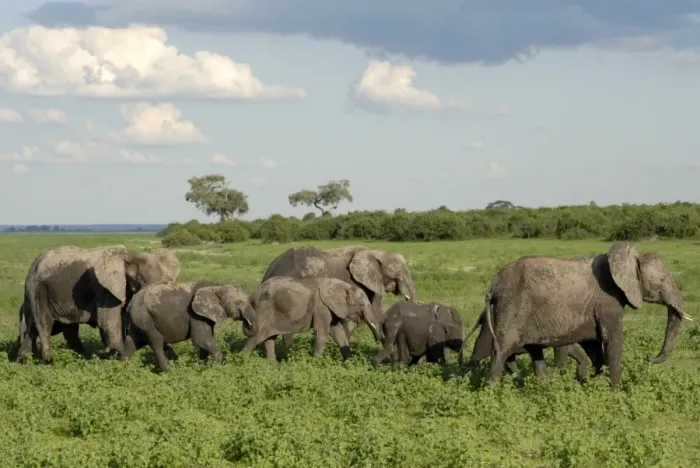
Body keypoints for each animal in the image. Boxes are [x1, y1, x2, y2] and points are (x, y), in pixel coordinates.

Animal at [17, 245, 180, 363]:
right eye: (140, 279)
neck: (131, 256)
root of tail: (34, 263)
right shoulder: (104, 288)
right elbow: (109, 323)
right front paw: (118, 358)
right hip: (38, 289)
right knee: (43, 323)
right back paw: (48, 361)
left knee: (45, 327)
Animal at [121, 281, 255, 373]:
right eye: (238, 303)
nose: (247, 323)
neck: (216, 286)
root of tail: (131, 302)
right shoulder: (194, 314)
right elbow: (200, 339)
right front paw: (215, 368)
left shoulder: (204, 315)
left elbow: (204, 342)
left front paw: (203, 368)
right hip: (144, 317)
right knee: (157, 342)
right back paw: (168, 372)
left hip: (138, 320)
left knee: (132, 343)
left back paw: (122, 369)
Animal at [240, 276, 384, 361]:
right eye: (361, 305)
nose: (378, 342)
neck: (342, 285)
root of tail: (253, 294)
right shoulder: (321, 305)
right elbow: (322, 333)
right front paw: (316, 364)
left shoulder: (330, 308)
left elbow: (338, 333)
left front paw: (350, 362)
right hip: (263, 311)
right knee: (256, 337)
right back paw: (242, 362)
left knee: (269, 338)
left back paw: (273, 367)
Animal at [463, 307, 593, 381]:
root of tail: (483, 313)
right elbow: (562, 352)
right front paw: (559, 376)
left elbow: (572, 350)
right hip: (490, 331)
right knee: (479, 353)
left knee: (509, 359)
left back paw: (519, 377)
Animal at [482, 242, 692, 390]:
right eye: (662, 280)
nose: (648, 358)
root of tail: (493, 285)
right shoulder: (608, 301)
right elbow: (612, 340)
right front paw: (614, 393)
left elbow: (593, 345)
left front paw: (591, 384)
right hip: (512, 306)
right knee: (502, 349)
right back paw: (491, 393)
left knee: (534, 351)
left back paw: (545, 387)